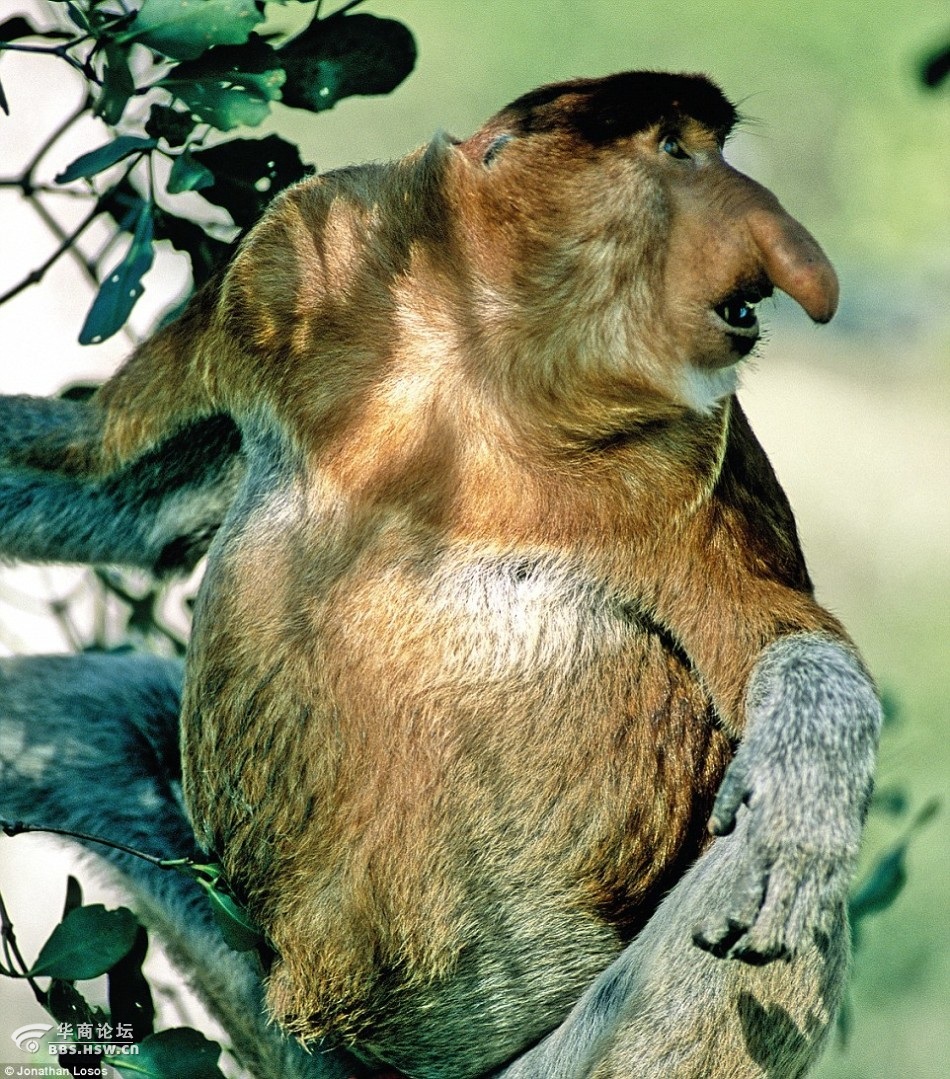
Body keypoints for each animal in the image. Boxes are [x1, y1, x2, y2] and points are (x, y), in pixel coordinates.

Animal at [0, 71, 880, 1074]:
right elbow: (108, 474)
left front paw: (806, 794)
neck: (484, 343)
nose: (789, 251)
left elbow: (774, 637)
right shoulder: (291, 258)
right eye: (676, 150)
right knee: (79, 722)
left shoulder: (692, 461)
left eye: (711, 148)